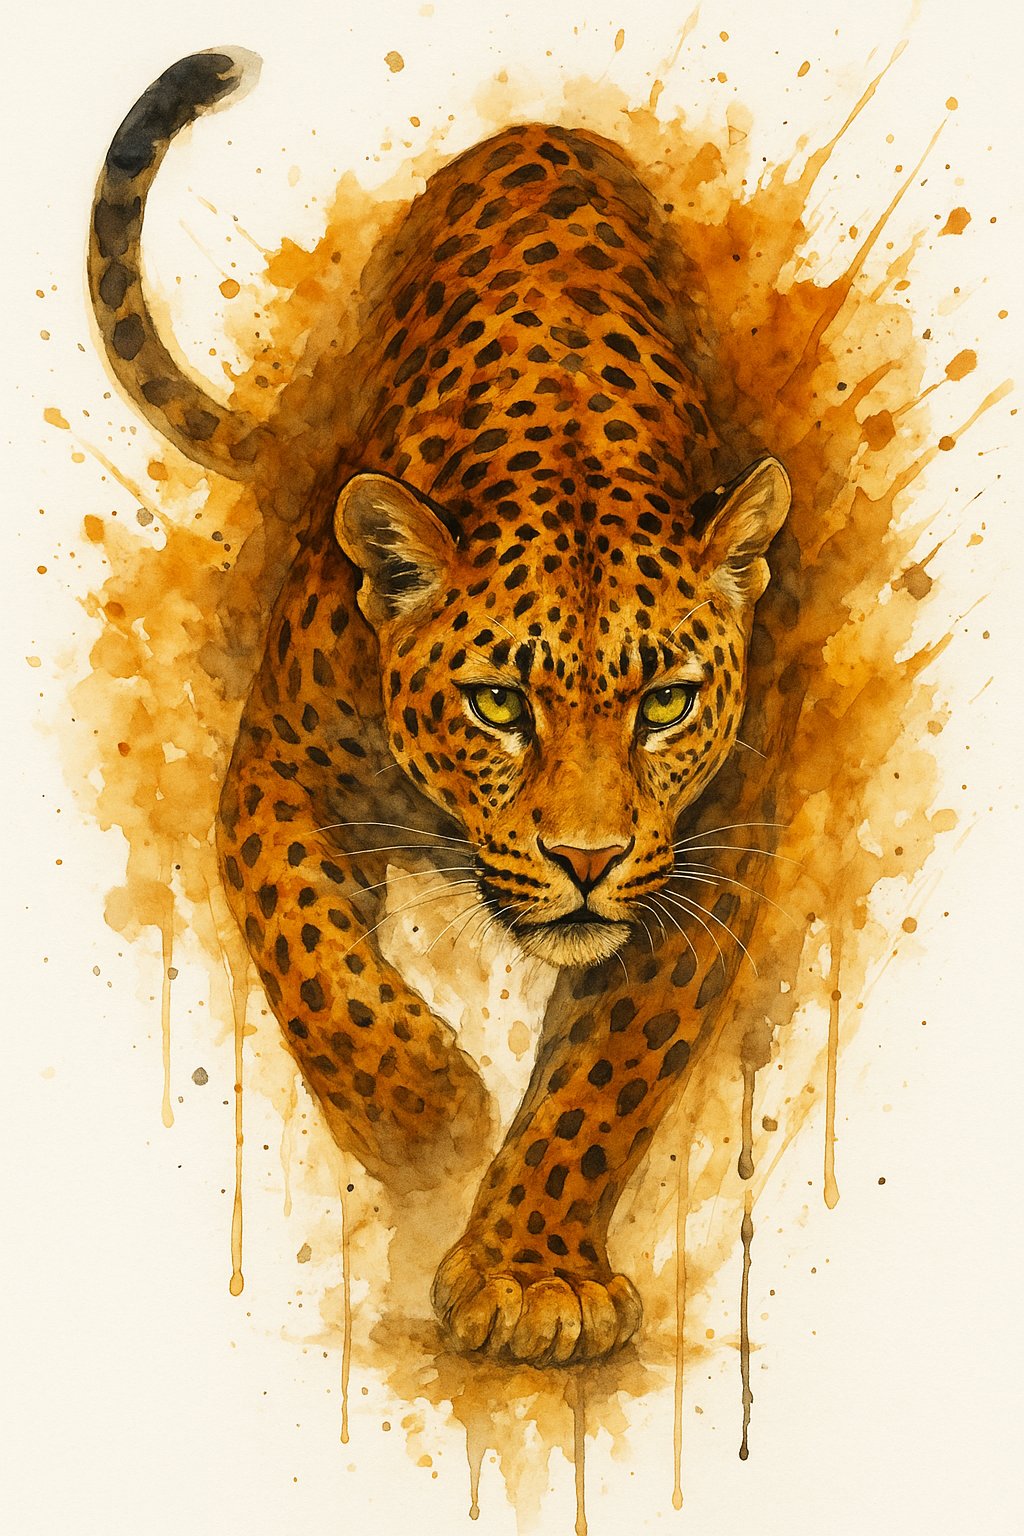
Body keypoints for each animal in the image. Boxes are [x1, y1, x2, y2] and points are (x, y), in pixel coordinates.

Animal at [88, 48, 792, 1368]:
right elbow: (307, 941)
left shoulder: (714, 847)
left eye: (666, 703)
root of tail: (537, 130)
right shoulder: (278, 765)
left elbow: (608, 1067)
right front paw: (420, 1116)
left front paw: (531, 1273)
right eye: (498, 702)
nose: (585, 859)